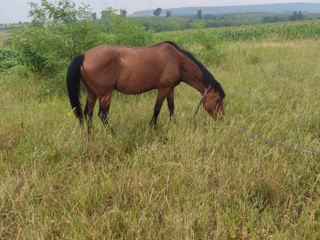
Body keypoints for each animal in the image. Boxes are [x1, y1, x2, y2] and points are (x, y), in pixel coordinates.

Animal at [66, 40, 225, 132]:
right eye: (218, 100)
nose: (222, 118)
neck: (177, 60)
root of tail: (84, 55)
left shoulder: (171, 89)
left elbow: (171, 108)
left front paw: (174, 125)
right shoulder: (163, 88)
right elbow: (157, 109)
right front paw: (152, 128)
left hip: (92, 93)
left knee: (88, 113)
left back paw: (90, 135)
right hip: (105, 94)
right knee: (102, 115)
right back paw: (113, 134)